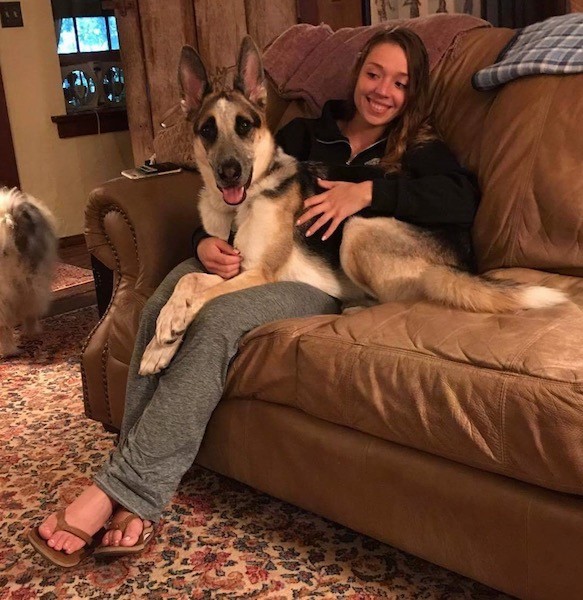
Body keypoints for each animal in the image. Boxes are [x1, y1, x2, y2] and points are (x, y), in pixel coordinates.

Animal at [139, 36, 568, 376]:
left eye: (245, 125)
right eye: (207, 130)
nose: (230, 173)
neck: (242, 204)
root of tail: (462, 263)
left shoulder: (259, 273)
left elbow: (202, 298)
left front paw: (172, 327)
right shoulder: (232, 266)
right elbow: (187, 281)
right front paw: (160, 343)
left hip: (358, 230)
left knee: (406, 299)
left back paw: (356, 309)